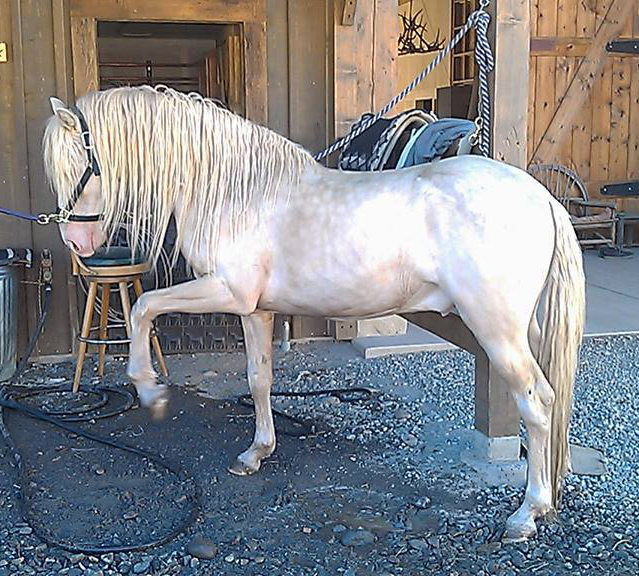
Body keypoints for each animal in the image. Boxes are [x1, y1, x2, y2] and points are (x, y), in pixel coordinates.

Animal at [43, 85, 584, 540]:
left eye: (77, 166)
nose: (77, 243)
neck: (238, 191)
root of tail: (540, 197)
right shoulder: (254, 310)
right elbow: (258, 378)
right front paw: (256, 453)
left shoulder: (225, 292)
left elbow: (143, 309)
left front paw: (149, 388)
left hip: (497, 331)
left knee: (537, 403)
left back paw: (527, 513)